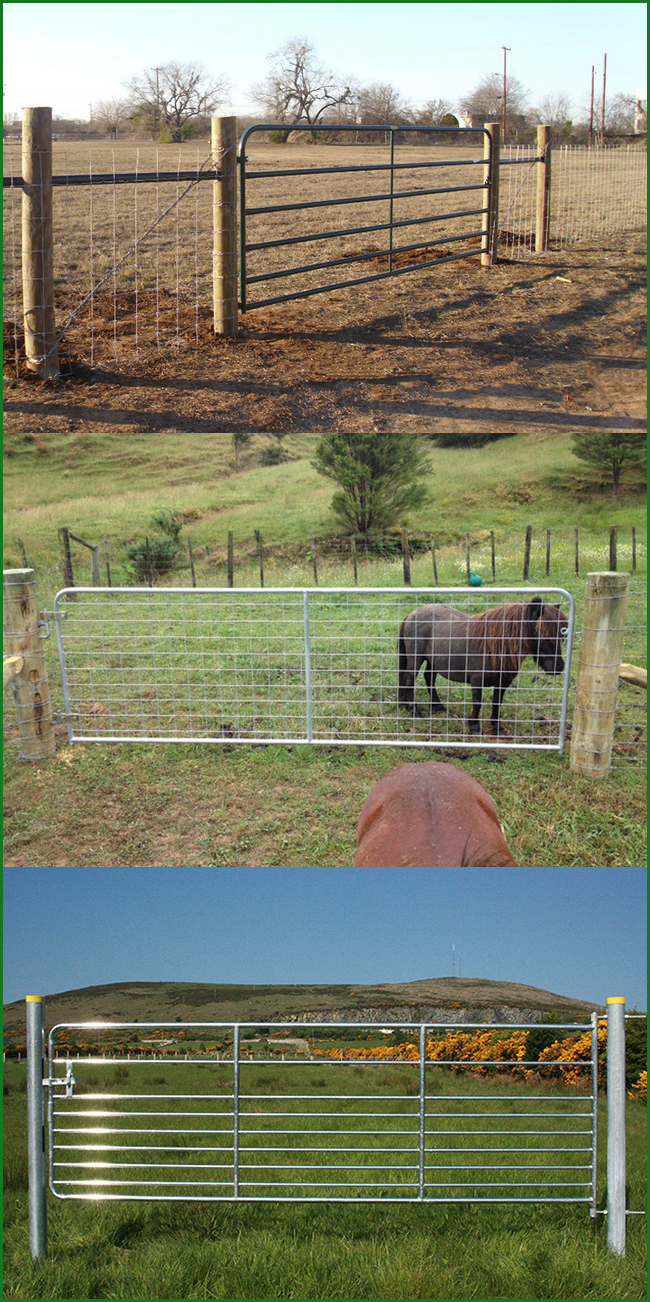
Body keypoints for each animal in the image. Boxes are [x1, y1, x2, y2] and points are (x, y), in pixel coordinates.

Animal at [395, 596, 565, 734]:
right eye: (542, 633)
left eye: (561, 635)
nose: (559, 667)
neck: (495, 647)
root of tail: (411, 614)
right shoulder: (477, 680)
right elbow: (477, 703)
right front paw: (474, 726)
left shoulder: (503, 682)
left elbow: (497, 703)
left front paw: (497, 727)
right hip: (416, 658)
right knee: (410, 679)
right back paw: (414, 709)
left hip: (434, 660)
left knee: (429, 678)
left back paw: (437, 706)